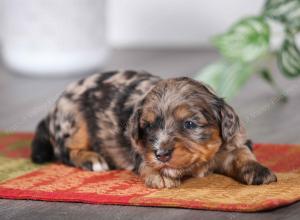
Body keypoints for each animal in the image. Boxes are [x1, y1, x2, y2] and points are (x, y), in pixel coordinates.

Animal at [31, 70, 278, 189]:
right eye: (148, 126)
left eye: (189, 124)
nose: (161, 154)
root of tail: (53, 109)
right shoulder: (141, 152)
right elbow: (149, 162)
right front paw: (161, 173)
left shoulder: (233, 141)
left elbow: (242, 154)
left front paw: (259, 170)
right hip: (73, 119)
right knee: (65, 151)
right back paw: (92, 159)